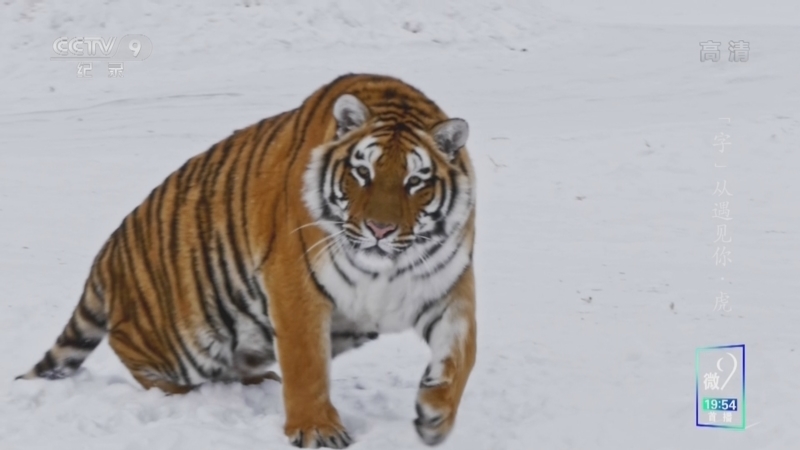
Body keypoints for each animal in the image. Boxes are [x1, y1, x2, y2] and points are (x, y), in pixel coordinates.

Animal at [18, 73, 477, 448]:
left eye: (414, 181)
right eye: (362, 173)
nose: (380, 229)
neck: (385, 269)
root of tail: (106, 254)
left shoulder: (447, 287)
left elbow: (461, 353)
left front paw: (435, 415)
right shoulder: (296, 283)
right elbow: (306, 363)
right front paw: (317, 430)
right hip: (184, 340)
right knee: (128, 347)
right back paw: (188, 394)